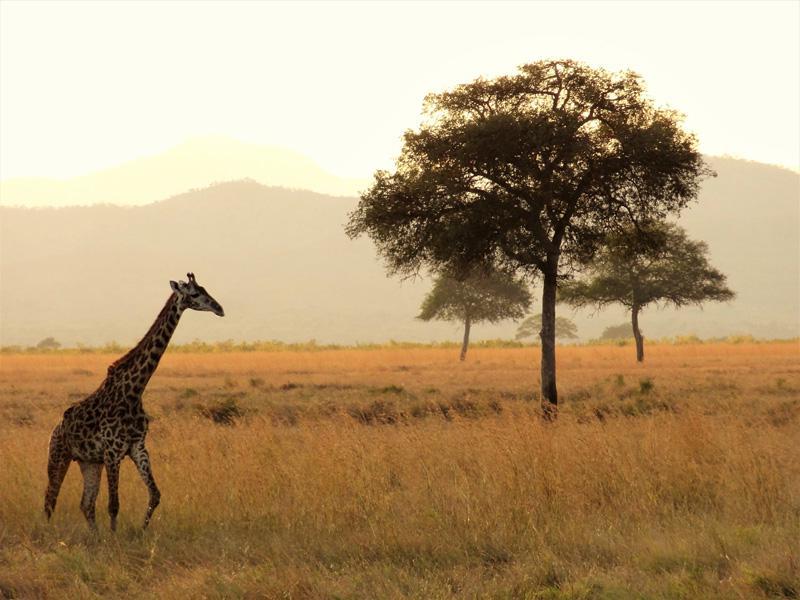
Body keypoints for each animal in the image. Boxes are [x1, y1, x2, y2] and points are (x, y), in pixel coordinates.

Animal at [44, 273, 224, 530]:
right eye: (195, 293)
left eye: (205, 289)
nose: (219, 308)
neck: (134, 391)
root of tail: (56, 427)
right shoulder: (112, 451)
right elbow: (113, 505)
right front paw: (114, 536)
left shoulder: (137, 447)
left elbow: (155, 494)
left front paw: (141, 530)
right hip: (58, 455)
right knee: (50, 498)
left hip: (89, 462)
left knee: (86, 503)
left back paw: (94, 535)